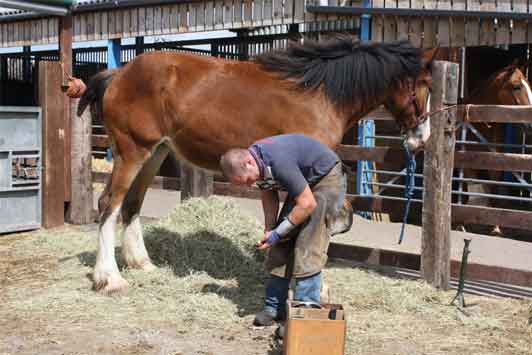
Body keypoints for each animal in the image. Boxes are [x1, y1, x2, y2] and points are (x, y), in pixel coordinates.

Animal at [79, 38, 436, 294]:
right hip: (132, 152)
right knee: (109, 203)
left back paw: (141, 263)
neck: (318, 95)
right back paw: (109, 278)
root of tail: (118, 74)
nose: (422, 138)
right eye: (425, 85)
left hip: (155, 153)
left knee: (132, 204)